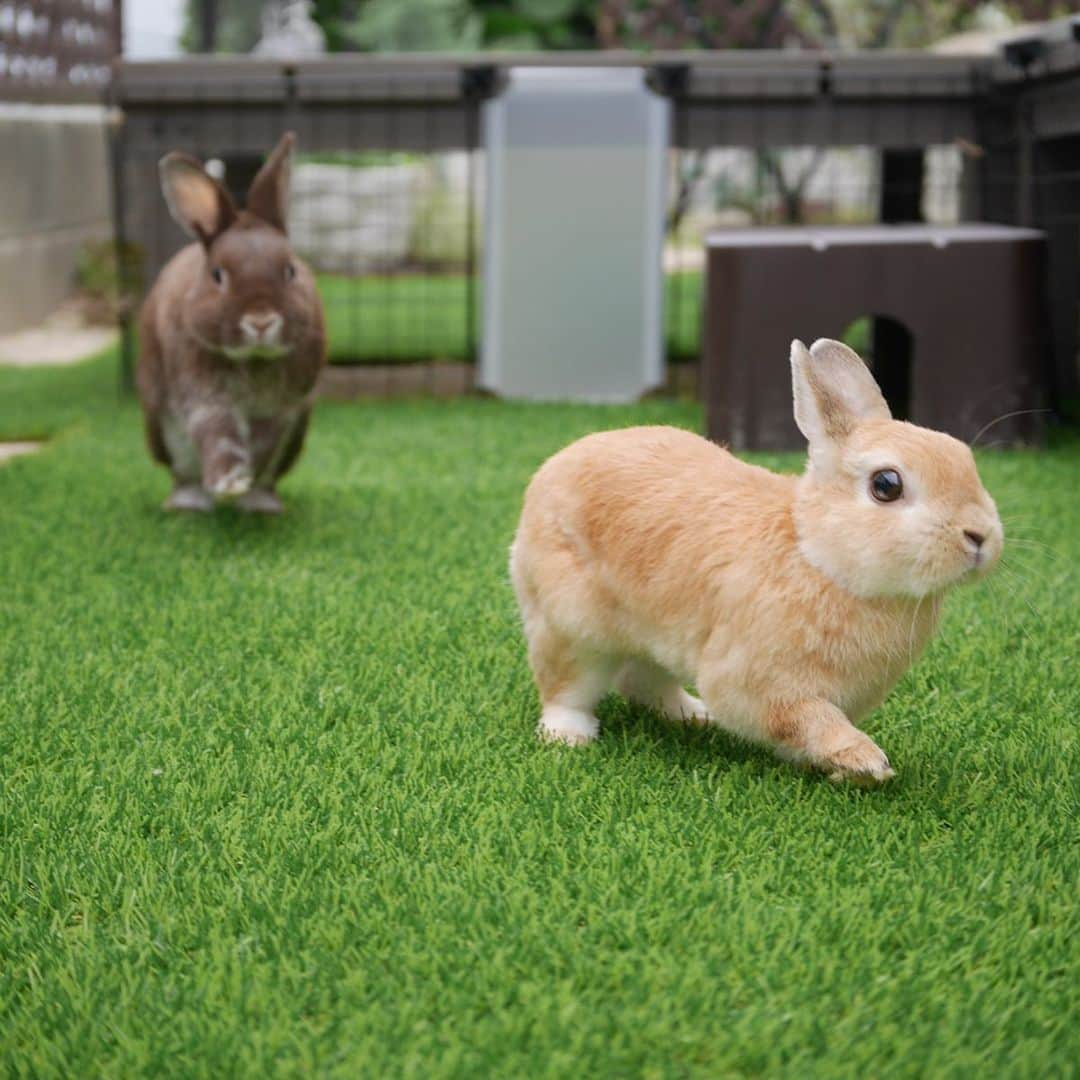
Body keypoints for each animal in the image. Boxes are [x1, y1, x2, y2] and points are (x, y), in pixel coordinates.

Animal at [134, 131, 321, 514]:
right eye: (218, 275)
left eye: (290, 270)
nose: (261, 321)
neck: (253, 360)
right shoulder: (204, 397)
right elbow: (217, 433)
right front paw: (230, 482)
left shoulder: (283, 410)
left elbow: (263, 442)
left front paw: (247, 482)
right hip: (160, 431)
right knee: (182, 475)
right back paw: (189, 503)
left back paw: (261, 504)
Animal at [509, 339, 997, 786]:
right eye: (886, 485)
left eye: (966, 461)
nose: (980, 536)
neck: (817, 556)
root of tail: (549, 474)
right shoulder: (762, 683)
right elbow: (808, 719)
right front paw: (864, 761)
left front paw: (840, 770)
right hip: (572, 626)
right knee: (566, 687)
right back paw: (570, 736)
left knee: (643, 681)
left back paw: (693, 715)